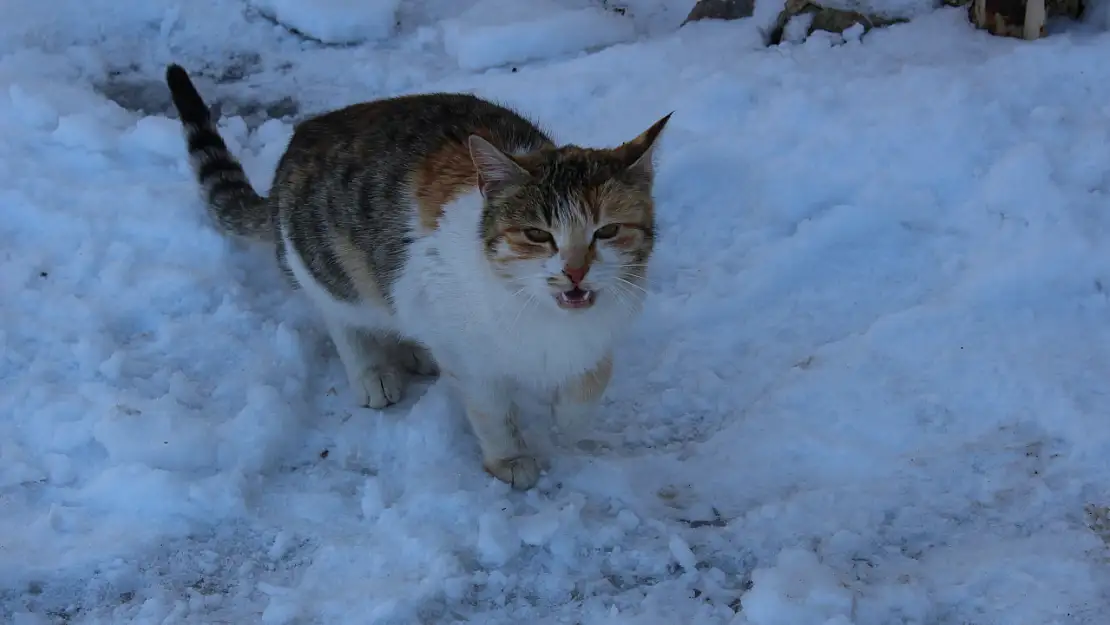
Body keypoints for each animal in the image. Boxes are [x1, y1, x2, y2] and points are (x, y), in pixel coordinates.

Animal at [164, 64, 666, 495]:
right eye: (537, 235)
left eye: (607, 231)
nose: (575, 270)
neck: (543, 317)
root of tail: (304, 134)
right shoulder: (469, 354)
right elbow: (491, 408)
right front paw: (508, 459)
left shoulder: (606, 323)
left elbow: (592, 380)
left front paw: (571, 421)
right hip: (331, 264)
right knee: (342, 316)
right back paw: (372, 369)